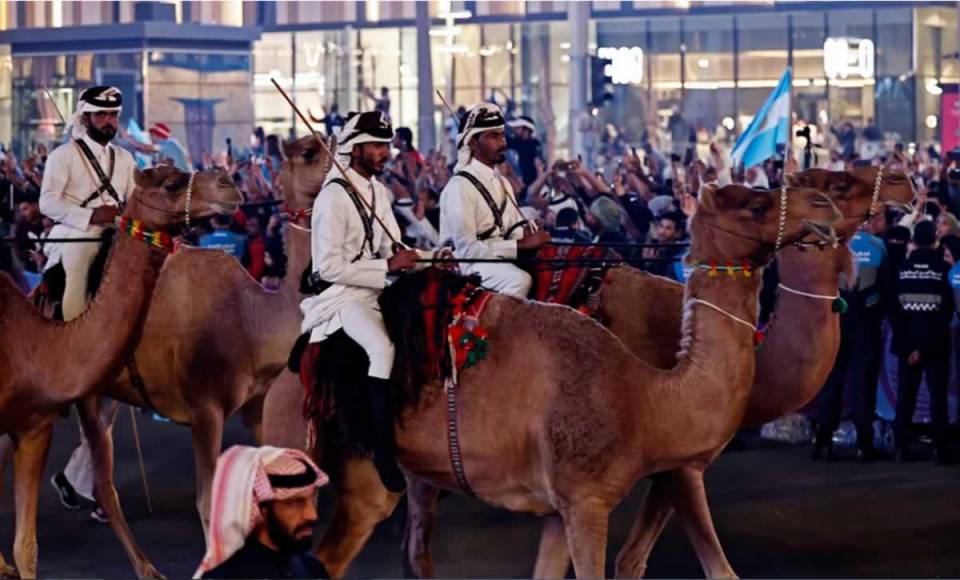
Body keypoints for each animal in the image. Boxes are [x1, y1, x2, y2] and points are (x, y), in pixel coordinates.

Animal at [262, 181, 840, 576]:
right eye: (756, 204)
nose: (823, 207)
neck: (645, 397)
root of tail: (292, 367)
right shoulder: (587, 502)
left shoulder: (563, 508)